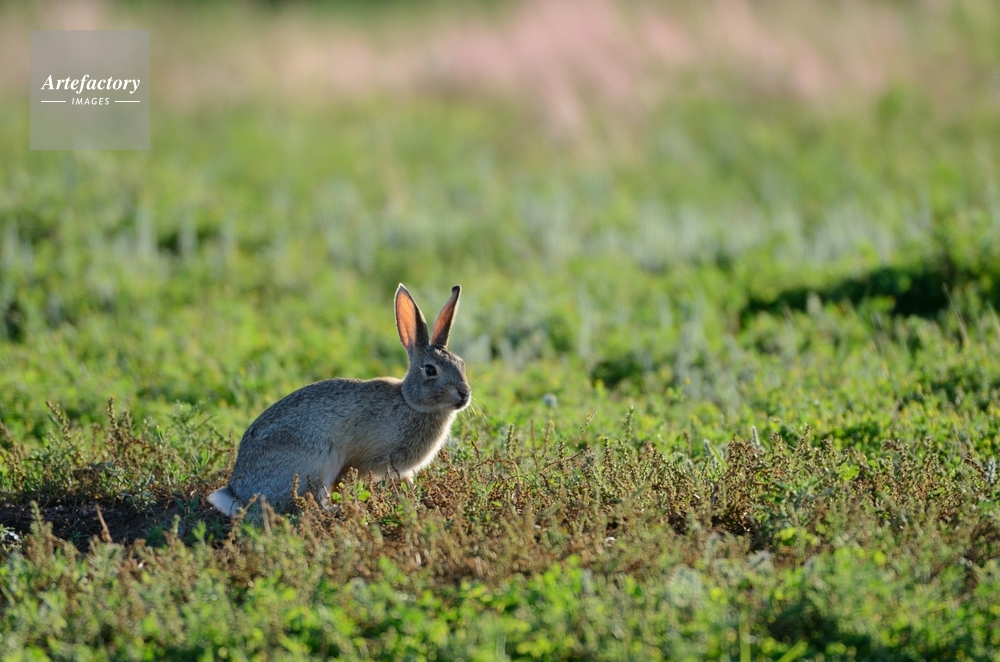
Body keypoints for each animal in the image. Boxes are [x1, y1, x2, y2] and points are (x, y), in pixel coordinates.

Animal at [208, 284, 471, 517]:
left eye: (461, 364)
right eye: (430, 370)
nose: (464, 394)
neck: (410, 402)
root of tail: (238, 493)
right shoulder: (367, 460)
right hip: (318, 463)